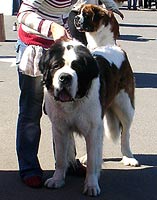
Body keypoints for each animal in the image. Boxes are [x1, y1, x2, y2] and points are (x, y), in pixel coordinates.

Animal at [39, 39, 139, 196]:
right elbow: (61, 157)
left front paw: (91, 185)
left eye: (77, 67)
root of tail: (115, 46)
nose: (65, 77)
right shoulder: (59, 129)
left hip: (125, 106)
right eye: (56, 66)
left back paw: (128, 157)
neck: (73, 102)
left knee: (125, 134)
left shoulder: (93, 129)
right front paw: (57, 179)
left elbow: (93, 160)